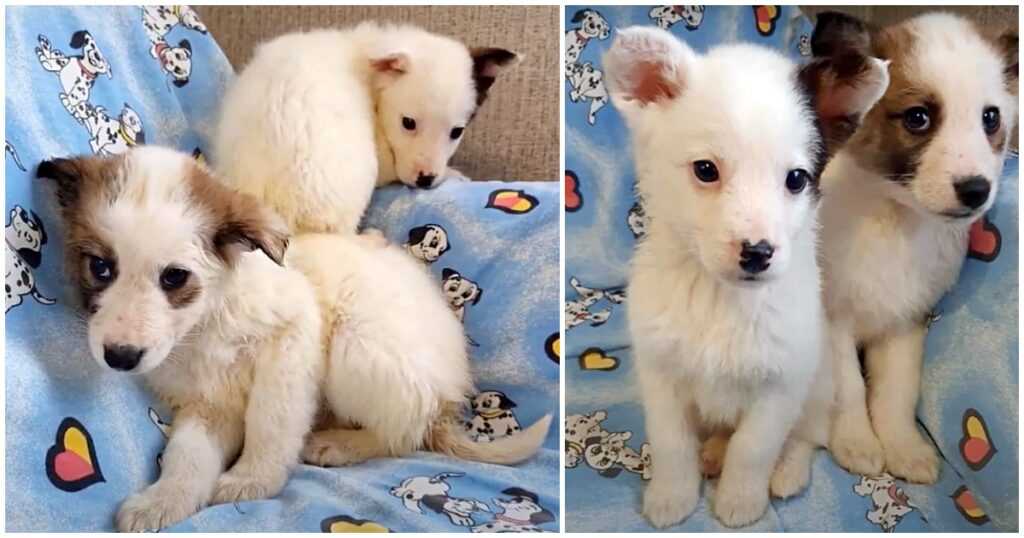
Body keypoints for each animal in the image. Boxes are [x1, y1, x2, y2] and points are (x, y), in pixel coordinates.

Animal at [37, 144, 321, 528]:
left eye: (174, 277)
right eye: (100, 267)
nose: (121, 357)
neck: (203, 326)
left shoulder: (291, 335)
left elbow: (272, 417)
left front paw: (252, 478)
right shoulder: (208, 400)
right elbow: (188, 454)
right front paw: (163, 501)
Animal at [602, 27, 892, 524]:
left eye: (796, 179)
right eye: (705, 170)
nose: (758, 253)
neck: (719, 299)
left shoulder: (782, 385)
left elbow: (754, 448)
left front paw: (741, 500)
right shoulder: (661, 375)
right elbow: (672, 444)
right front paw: (672, 496)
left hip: (819, 387)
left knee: (808, 435)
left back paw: (787, 472)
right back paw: (712, 452)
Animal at [806, 12, 1015, 481]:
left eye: (990, 118)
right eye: (917, 117)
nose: (977, 191)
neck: (895, 219)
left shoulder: (906, 322)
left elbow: (896, 392)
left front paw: (903, 447)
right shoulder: (832, 319)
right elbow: (849, 387)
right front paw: (857, 442)